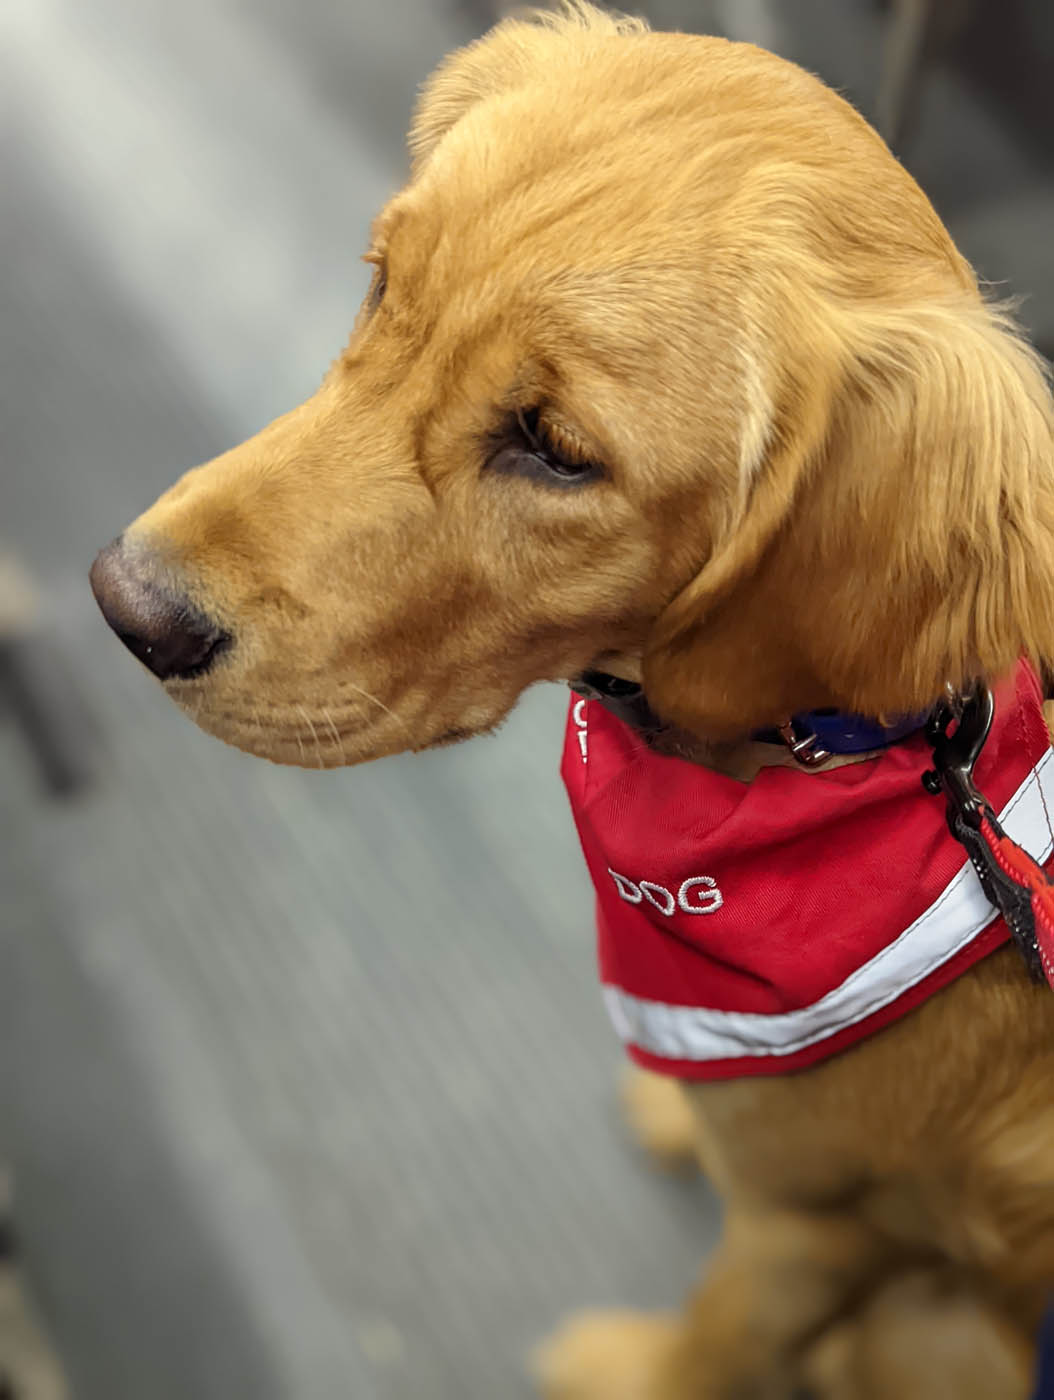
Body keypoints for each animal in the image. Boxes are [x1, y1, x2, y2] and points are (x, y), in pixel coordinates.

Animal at [92, 5, 1052, 1394]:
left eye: (553, 447)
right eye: (382, 283)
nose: (127, 605)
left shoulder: (811, 1231)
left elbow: (712, 1335)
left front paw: (631, 1363)